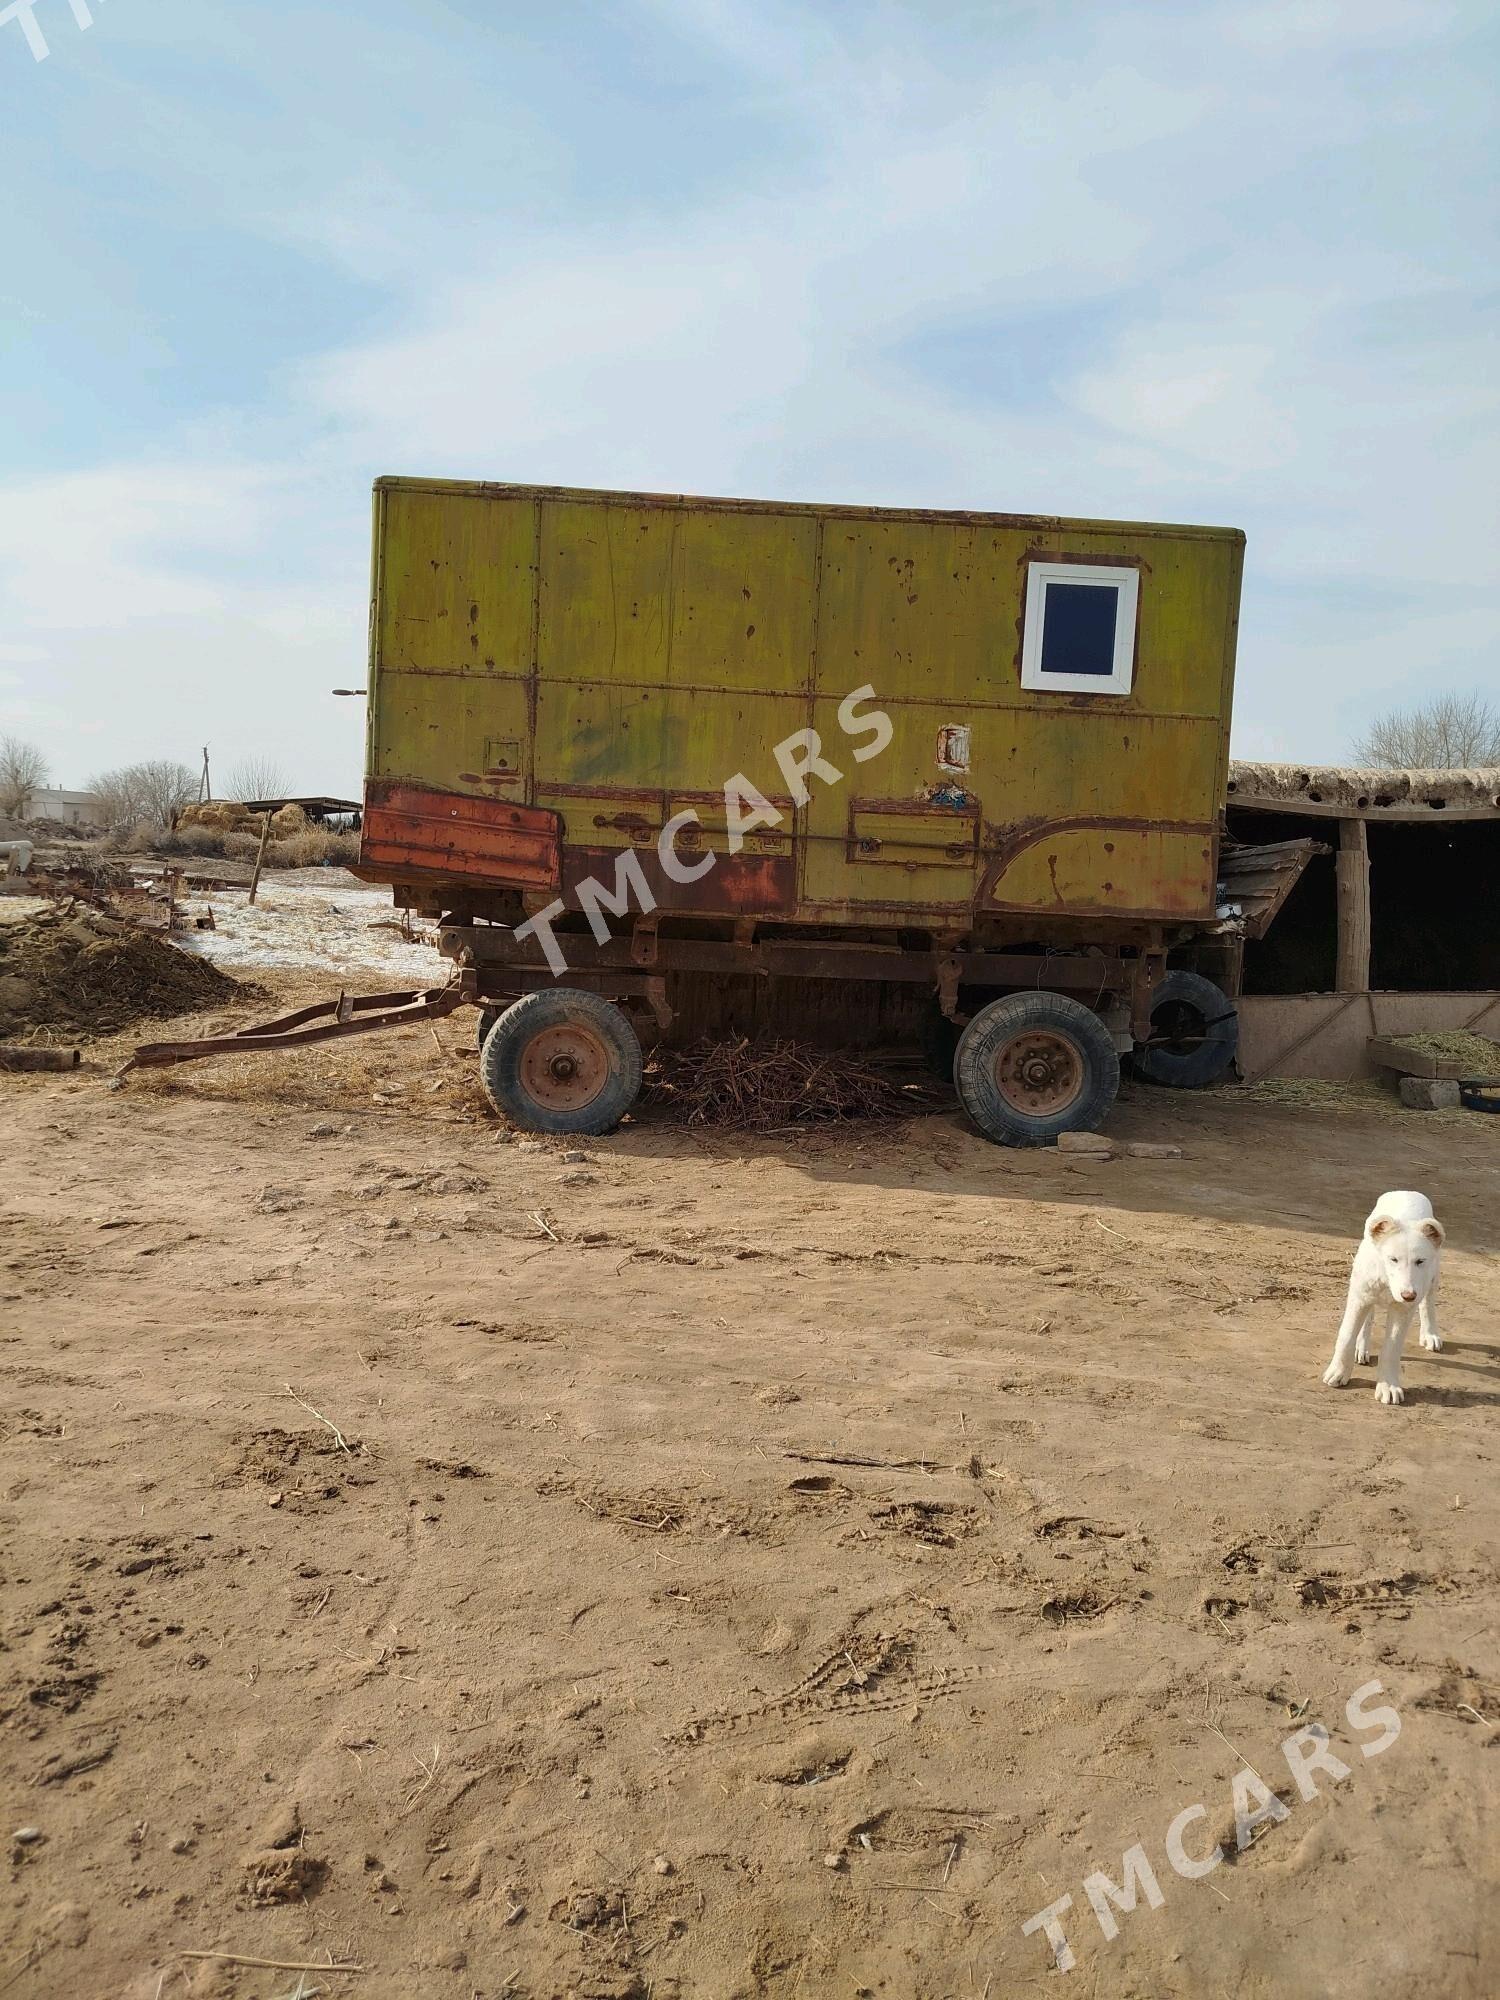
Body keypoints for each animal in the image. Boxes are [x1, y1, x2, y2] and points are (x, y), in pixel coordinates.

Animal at [1320, 1184, 1448, 1408]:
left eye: (1420, 1261)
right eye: (1393, 1259)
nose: (1408, 1295)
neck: (1388, 1283)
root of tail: (1406, 1191)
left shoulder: (1404, 1308)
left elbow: (1392, 1348)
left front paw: (1388, 1386)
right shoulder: (1359, 1296)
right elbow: (1346, 1335)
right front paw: (1338, 1373)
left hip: (1432, 1279)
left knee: (1428, 1304)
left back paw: (1430, 1334)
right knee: (1369, 1316)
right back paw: (1361, 1348)